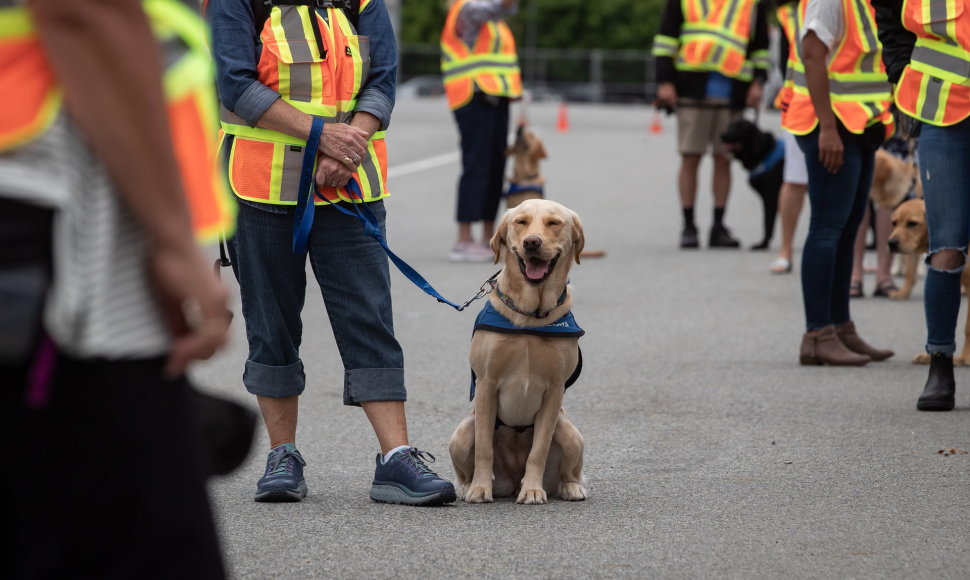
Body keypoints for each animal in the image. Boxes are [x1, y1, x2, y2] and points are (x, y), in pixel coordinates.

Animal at [720, 119, 788, 250]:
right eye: (730, 126)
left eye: (740, 128)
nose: (722, 135)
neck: (762, 153)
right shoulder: (767, 198)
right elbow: (767, 221)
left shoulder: (771, 197)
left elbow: (767, 222)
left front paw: (763, 244)